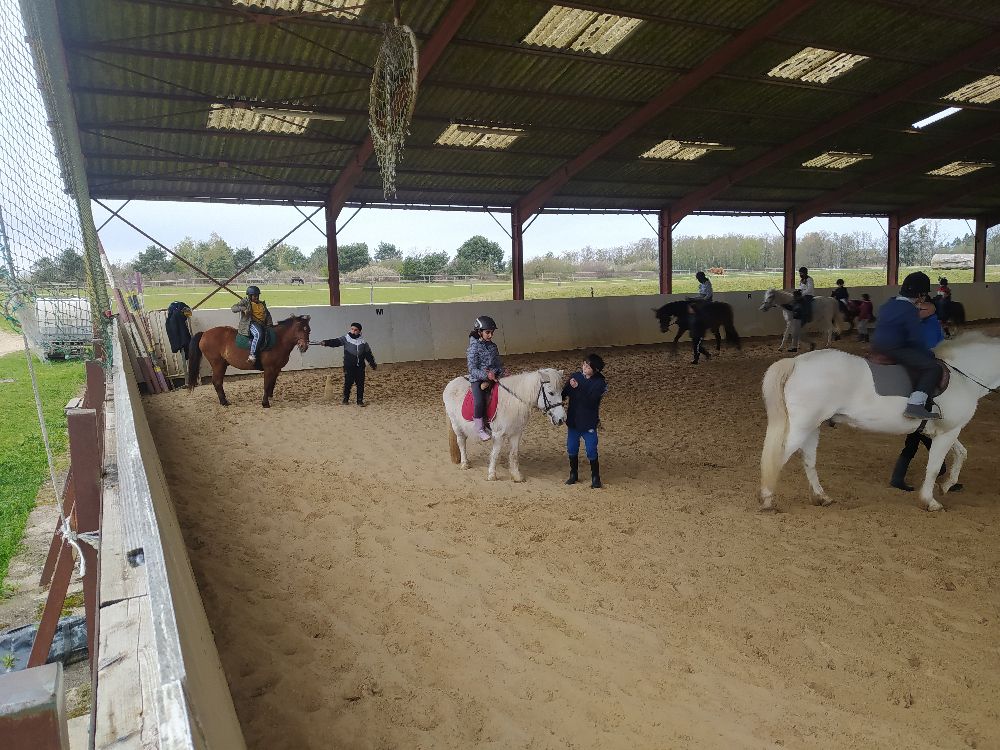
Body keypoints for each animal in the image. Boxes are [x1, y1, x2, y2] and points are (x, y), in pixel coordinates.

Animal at [756, 334, 1000, 516]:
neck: (963, 377)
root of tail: (797, 362)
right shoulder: (948, 431)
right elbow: (933, 467)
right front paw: (930, 501)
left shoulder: (944, 430)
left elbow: (961, 453)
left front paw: (948, 484)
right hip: (802, 426)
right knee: (779, 457)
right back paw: (767, 501)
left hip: (812, 426)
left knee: (808, 460)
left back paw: (821, 497)